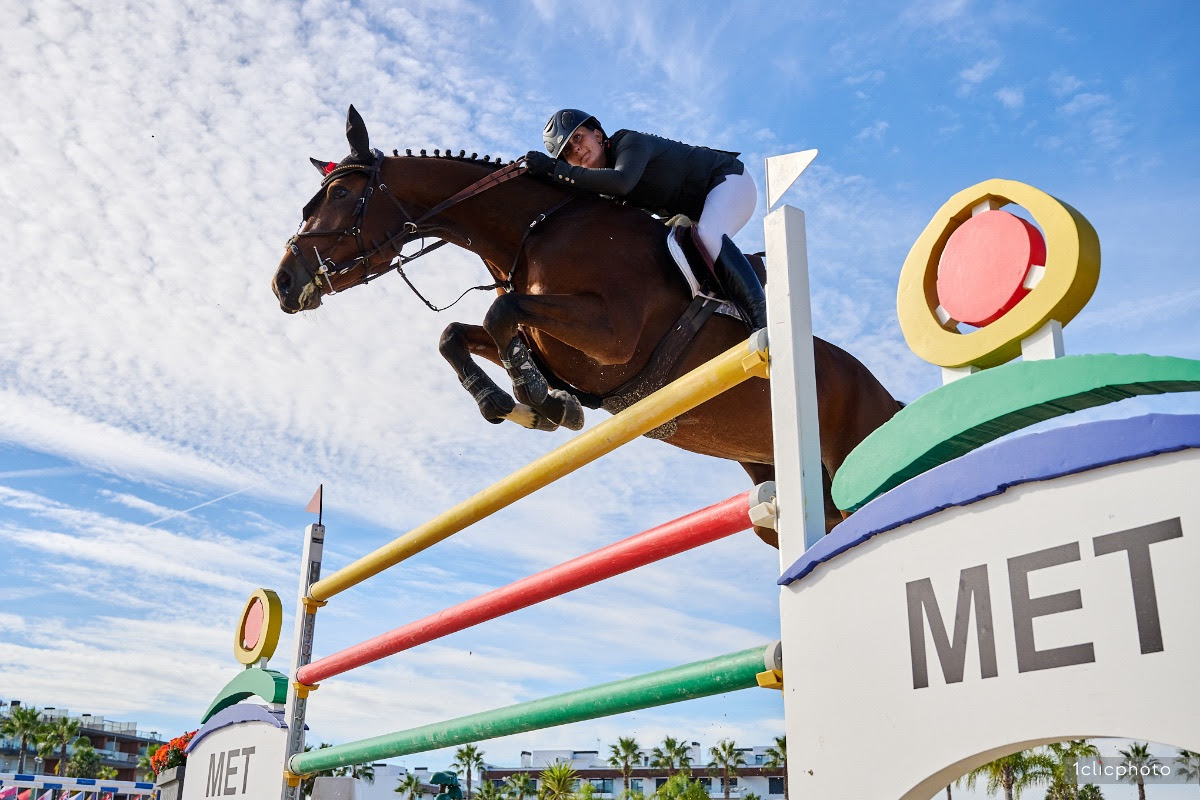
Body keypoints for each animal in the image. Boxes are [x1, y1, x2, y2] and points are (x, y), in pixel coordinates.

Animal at [270, 106, 902, 544]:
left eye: (340, 194)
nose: (281, 283)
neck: (534, 231)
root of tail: (890, 398)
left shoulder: (611, 332)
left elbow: (498, 313)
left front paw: (540, 402)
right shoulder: (549, 339)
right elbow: (457, 334)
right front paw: (522, 404)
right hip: (775, 483)